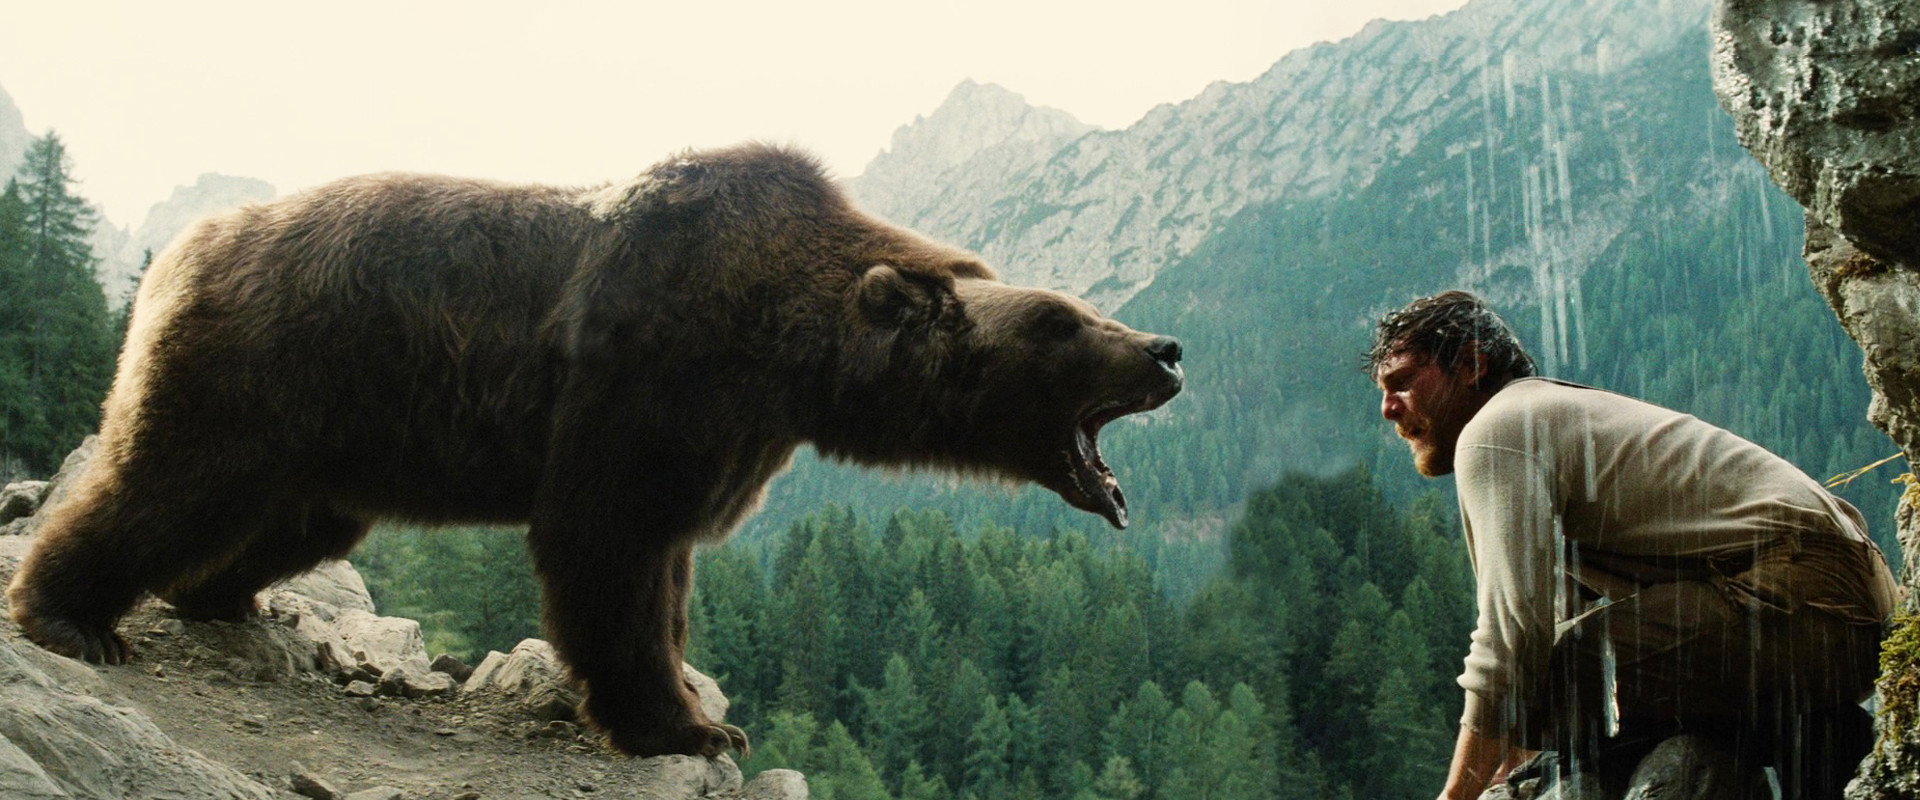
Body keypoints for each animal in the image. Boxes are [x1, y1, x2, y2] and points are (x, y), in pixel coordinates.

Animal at [6, 143, 1184, 758]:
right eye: (1063, 322)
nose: (1167, 349)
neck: (792, 350)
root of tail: (192, 241)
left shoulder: (727, 433)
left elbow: (669, 563)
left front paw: (705, 710)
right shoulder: (646, 373)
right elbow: (608, 550)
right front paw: (680, 725)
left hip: (342, 433)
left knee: (285, 521)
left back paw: (226, 597)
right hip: (268, 365)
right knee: (168, 481)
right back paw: (73, 615)